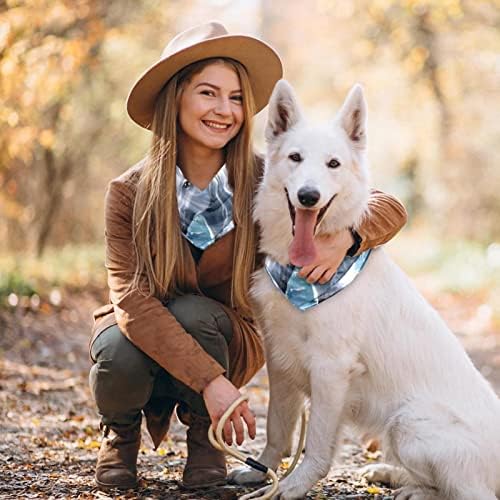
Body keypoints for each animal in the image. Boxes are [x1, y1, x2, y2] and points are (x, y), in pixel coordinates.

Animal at [229, 81, 500, 500]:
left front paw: (291, 486)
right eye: (295, 158)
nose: (308, 196)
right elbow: (277, 428)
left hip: (407, 423)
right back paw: (389, 474)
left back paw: (414, 489)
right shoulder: (280, 360)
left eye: (333, 164)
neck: (302, 274)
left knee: (470, 493)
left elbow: (317, 445)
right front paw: (263, 472)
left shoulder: (330, 369)